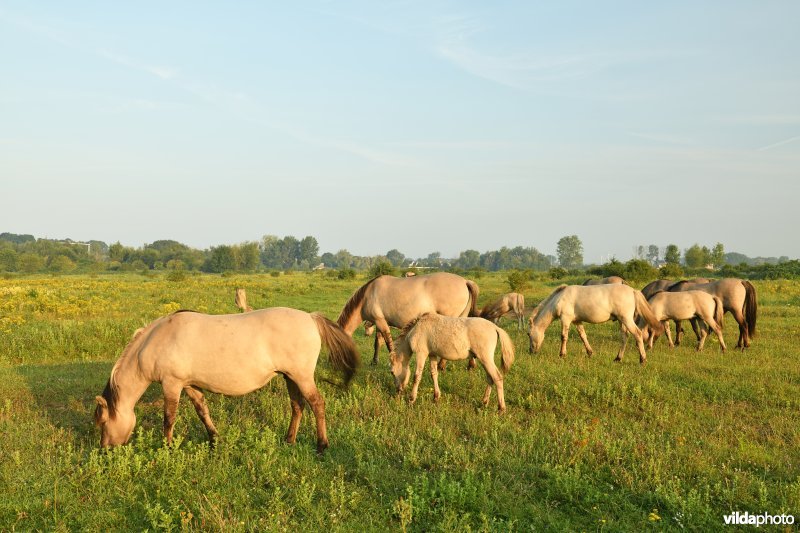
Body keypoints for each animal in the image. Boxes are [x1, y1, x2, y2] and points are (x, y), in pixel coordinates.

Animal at [94, 308, 360, 454]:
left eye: (103, 422)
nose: (104, 450)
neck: (157, 339)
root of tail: (311, 318)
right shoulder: (189, 385)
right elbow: (202, 411)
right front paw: (214, 439)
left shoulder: (172, 384)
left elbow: (169, 419)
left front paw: (167, 447)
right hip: (291, 377)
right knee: (297, 406)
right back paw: (289, 440)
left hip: (302, 377)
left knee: (317, 404)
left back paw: (321, 445)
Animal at [336, 272, 478, 364]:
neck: (367, 296)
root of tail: (465, 281)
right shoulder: (380, 321)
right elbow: (377, 343)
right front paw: (374, 362)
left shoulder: (380, 322)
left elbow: (389, 344)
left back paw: (441, 366)